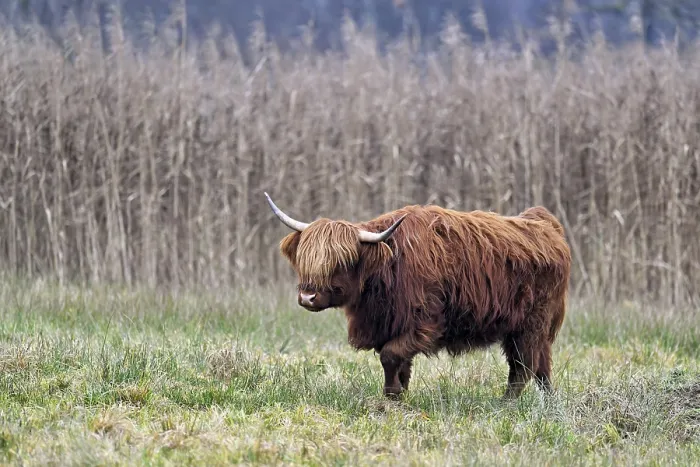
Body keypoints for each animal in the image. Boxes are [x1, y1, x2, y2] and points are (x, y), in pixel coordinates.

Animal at [265, 192, 572, 400]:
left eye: (342, 261)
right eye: (306, 259)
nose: (308, 297)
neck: (388, 266)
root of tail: (544, 224)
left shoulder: (423, 324)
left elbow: (390, 356)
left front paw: (390, 396)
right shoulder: (391, 325)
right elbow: (401, 365)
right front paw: (398, 396)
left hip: (530, 325)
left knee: (523, 367)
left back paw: (505, 404)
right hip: (530, 330)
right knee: (542, 366)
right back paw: (548, 402)